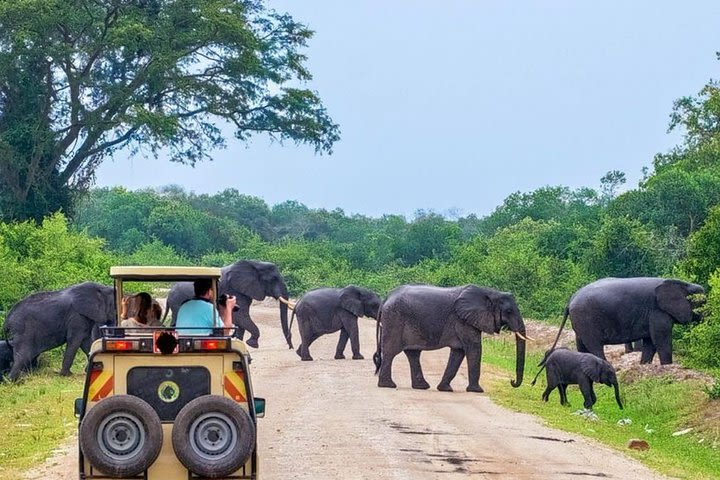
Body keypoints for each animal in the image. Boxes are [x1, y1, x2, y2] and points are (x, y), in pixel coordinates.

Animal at [374, 284, 524, 392]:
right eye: (509, 311)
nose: (512, 381)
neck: (490, 292)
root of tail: (387, 297)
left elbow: (458, 353)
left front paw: (445, 389)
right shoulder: (463, 321)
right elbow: (474, 348)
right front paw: (477, 391)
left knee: (413, 354)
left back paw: (421, 386)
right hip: (394, 319)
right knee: (391, 352)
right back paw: (388, 385)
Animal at [548, 276, 704, 366]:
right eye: (702, 303)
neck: (684, 283)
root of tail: (570, 300)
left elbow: (649, 342)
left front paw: (644, 366)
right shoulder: (657, 311)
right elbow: (661, 339)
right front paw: (667, 366)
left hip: (580, 320)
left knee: (582, 345)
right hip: (586, 320)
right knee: (594, 345)